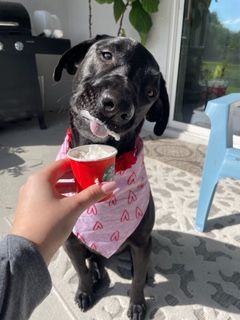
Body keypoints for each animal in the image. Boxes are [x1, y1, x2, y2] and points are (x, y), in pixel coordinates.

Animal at [54, 35, 170, 320]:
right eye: (106, 54)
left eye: (151, 93)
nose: (116, 104)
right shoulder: (70, 243)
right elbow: (80, 271)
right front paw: (85, 290)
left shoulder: (140, 243)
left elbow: (137, 280)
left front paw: (137, 304)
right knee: (93, 259)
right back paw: (97, 273)